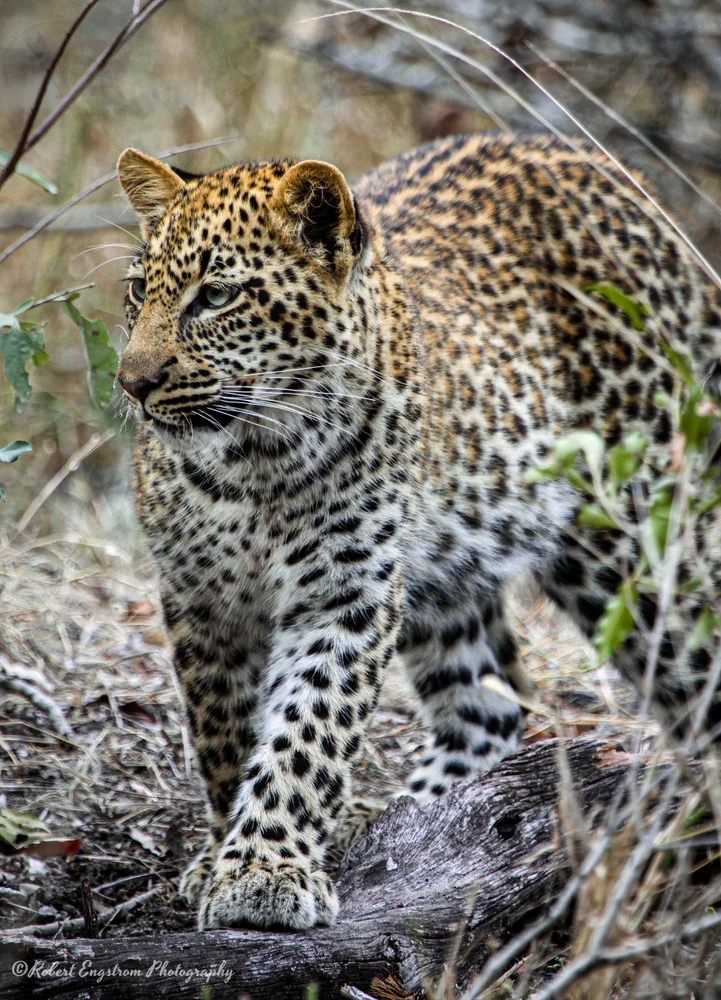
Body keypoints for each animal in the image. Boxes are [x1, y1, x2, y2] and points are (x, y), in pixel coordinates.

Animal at [115, 132, 721, 932]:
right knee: (491, 704)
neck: (252, 460)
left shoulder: (345, 592)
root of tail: (615, 174)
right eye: (137, 291)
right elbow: (226, 735)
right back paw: (417, 819)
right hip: (452, 567)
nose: (132, 383)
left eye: (215, 297)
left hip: (634, 536)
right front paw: (225, 855)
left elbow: (307, 731)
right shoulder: (199, 599)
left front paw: (265, 870)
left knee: (696, 664)